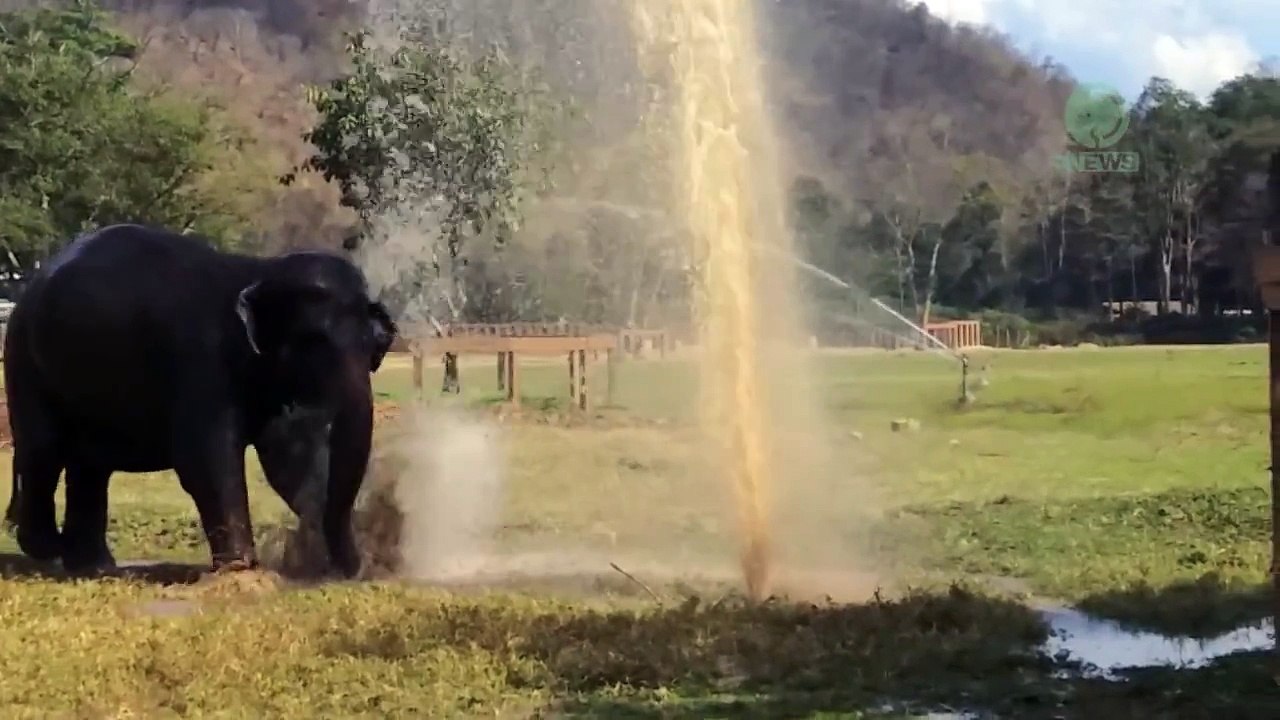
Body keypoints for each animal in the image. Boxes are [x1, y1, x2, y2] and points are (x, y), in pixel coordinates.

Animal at [1, 223, 396, 577]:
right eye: (314, 342)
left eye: (374, 346)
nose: (359, 570)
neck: (257, 271)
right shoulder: (202, 360)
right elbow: (205, 458)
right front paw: (242, 570)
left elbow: (282, 456)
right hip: (23, 360)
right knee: (44, 448)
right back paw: (48, 548)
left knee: (89, 465)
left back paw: (93, 566)